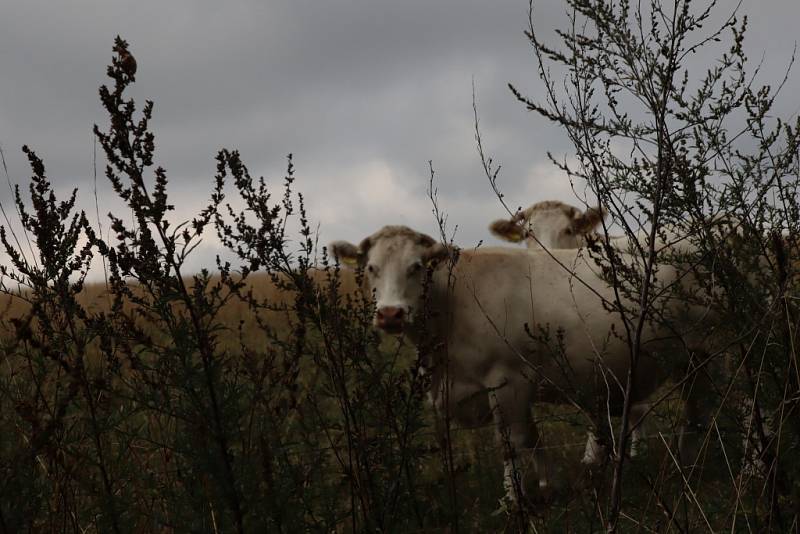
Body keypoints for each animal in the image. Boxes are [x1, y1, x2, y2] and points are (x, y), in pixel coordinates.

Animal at [328, 226, 716, 502]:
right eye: (371, 268)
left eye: (416, 267)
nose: (390, 314)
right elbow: (532, 438)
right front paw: (550, 484)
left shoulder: (507, 381)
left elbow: (512, 442)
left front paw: (514, 499)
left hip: (711, 351)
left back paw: (702, 464)